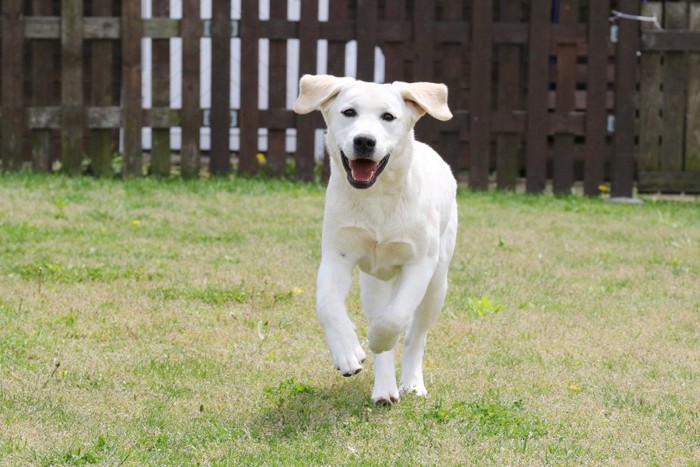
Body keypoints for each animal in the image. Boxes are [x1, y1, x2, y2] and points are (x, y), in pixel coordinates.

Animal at [292, 75, 456, 404]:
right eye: (349, 112)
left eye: (388, 117)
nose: (365, 141)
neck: (377, 197)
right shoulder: (337, 257)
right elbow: (327, 305)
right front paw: (347, 353)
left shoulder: (419, 263)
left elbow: (395, 318)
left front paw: (377, 338)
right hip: (373, 282)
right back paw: (384, 390)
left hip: (437, 283)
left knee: (415, 334)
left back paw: (412, 382)